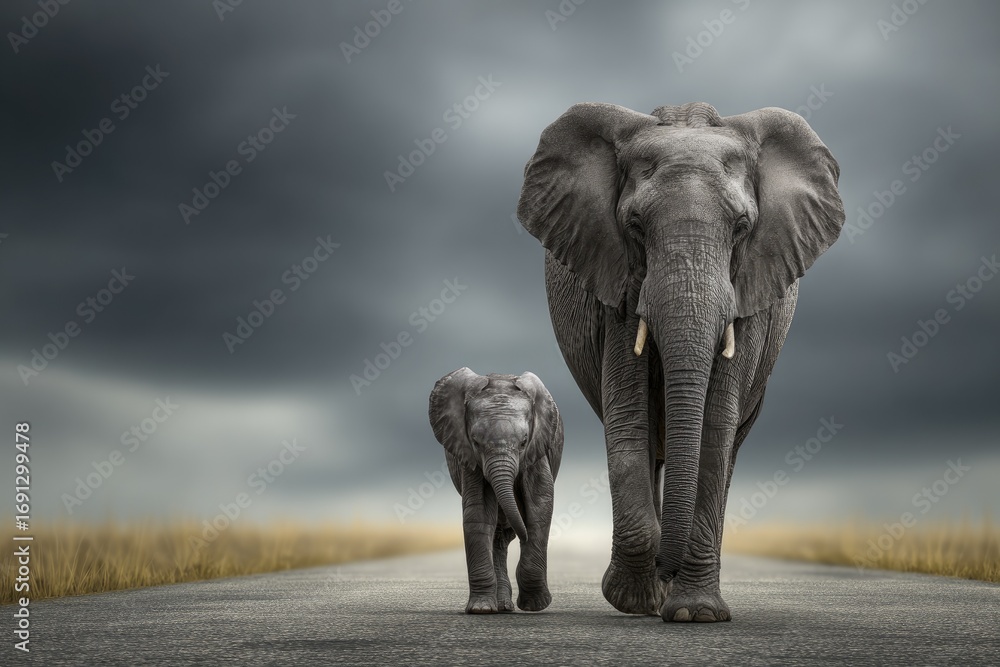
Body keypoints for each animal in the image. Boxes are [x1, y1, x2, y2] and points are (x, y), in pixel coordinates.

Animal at [428, 367, 563, 614]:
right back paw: (501, 606)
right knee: (497, 537)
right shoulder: (469, 458)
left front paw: (535, 605)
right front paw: (480, 609)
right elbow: (479, 513)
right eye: (475, 442)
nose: (523, 535)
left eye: (524, 442)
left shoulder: (537, 452)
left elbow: (539, 507)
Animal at [516, 102, 844, 622]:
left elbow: (717, 424)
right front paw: (634, 599)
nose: (666, 570)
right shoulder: (617, 283)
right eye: (634, 226)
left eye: (742, 228)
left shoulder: (750, 289)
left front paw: (696, 614)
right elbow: (628, 416)